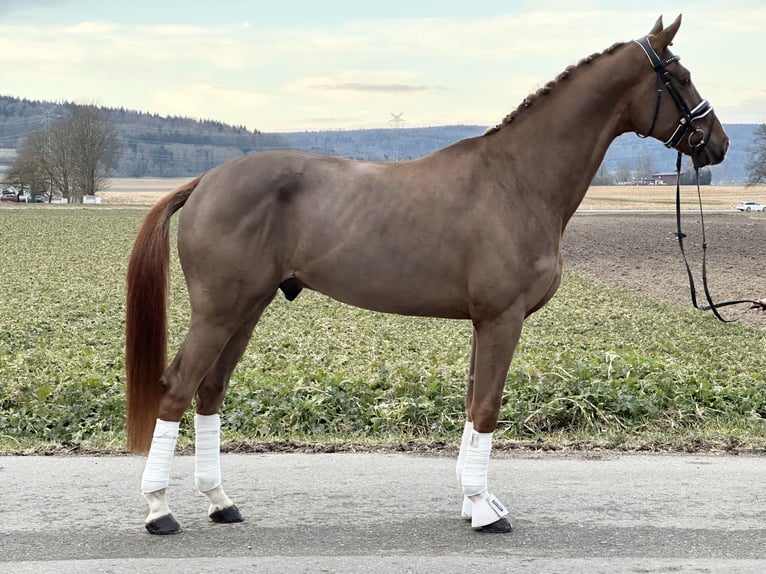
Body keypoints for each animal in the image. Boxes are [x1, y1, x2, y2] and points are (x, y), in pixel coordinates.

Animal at [124, 16, 728, 540]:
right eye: (678, 76)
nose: (717, 142)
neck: (517, 179)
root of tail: (205, 181)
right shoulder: (502, 319)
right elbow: (486, 408)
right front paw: (485, 511)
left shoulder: (483, 323)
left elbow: (471, 403)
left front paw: (472, 500)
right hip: (219, 312)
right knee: (177, 388)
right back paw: (158, 510)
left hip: (247, 310)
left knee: (210, 391)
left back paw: (220, 502)